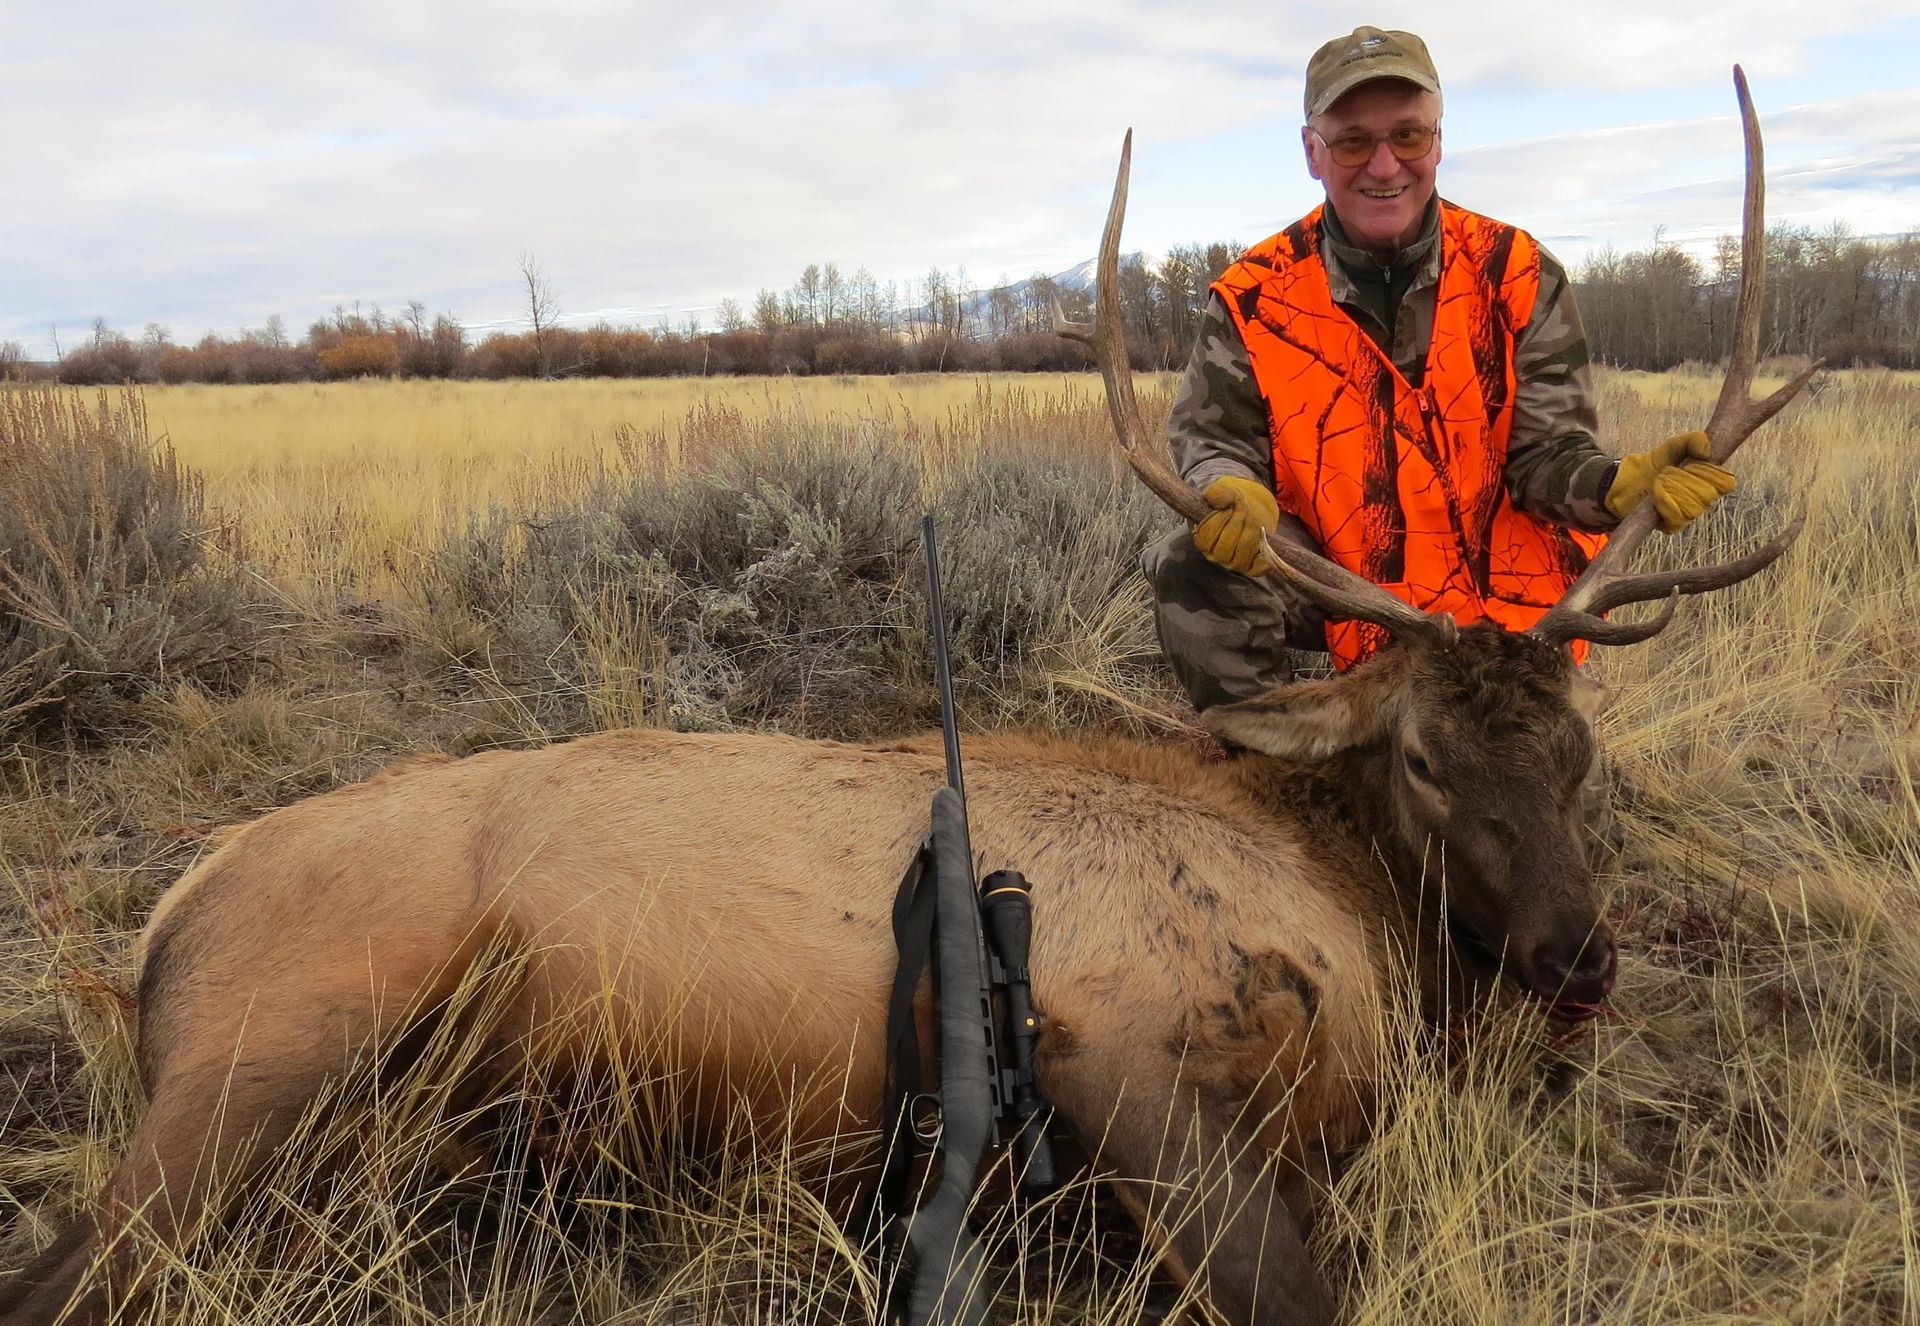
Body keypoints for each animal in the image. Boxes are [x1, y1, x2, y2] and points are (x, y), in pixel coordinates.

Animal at [0, 70, 1814, 1326]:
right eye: (1427, 760)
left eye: (1578, 750)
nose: (1582, 952)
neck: (1352, 921)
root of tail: (167, 921)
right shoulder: (1126, 1045)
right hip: (271, 1037)